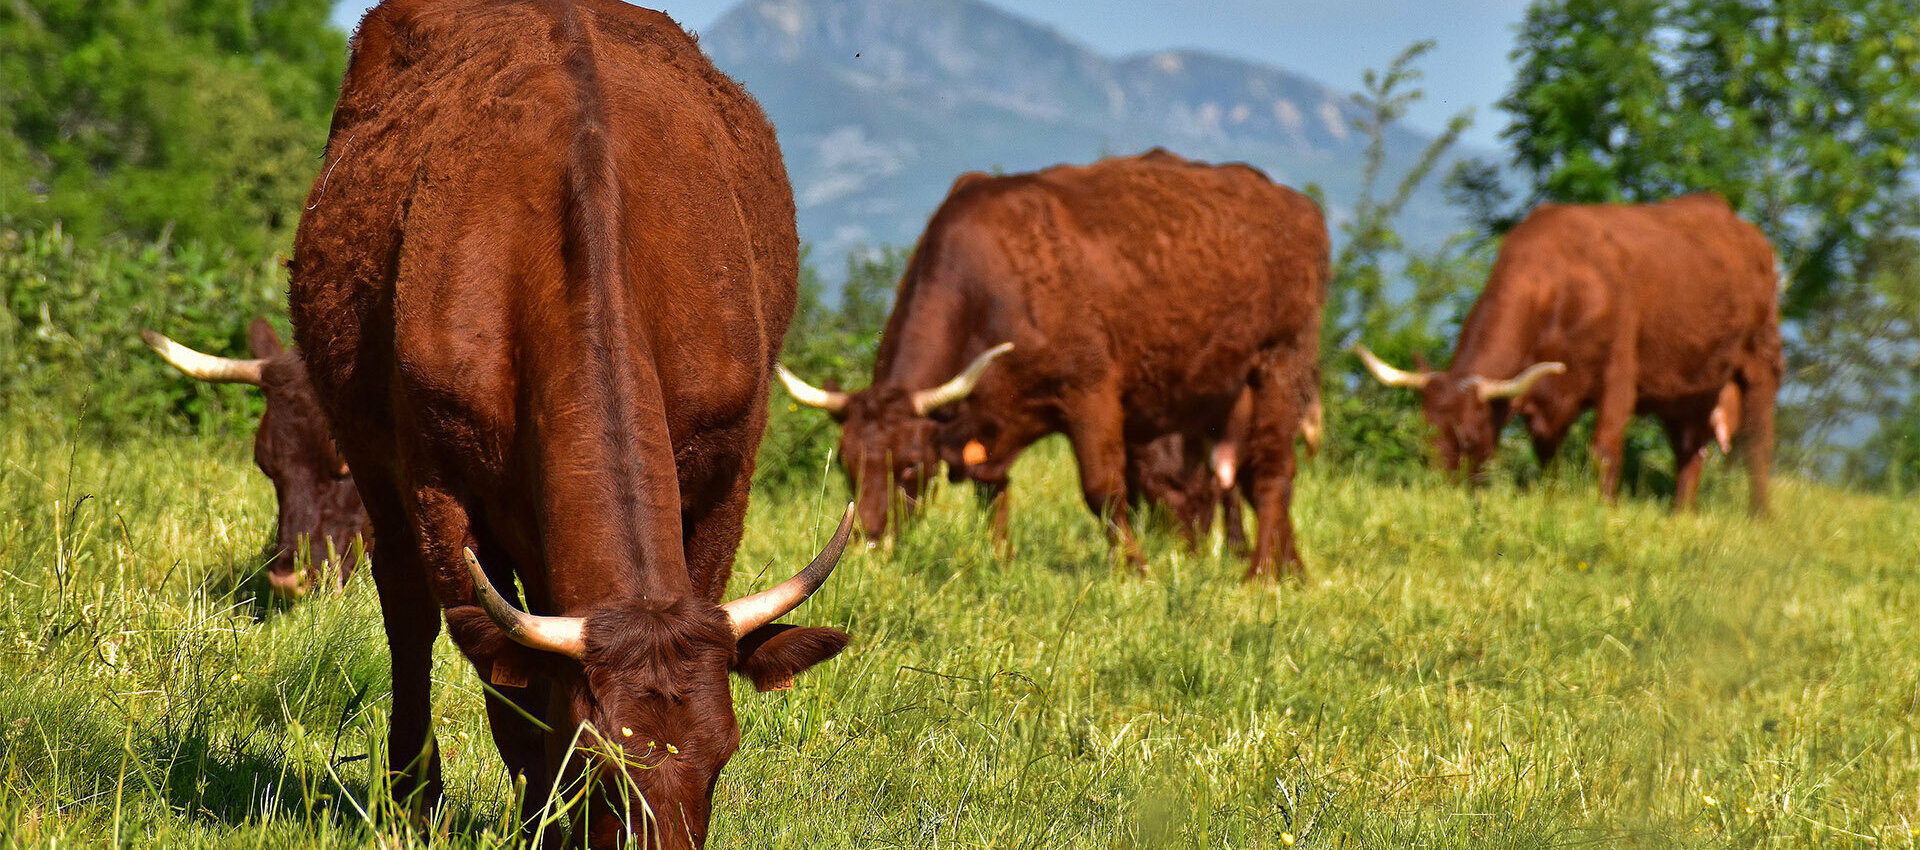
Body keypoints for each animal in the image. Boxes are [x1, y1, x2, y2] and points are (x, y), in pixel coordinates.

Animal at [286, 3, 856, 848]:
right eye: (600, 764)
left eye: (723, 757)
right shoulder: (440, 485)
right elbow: (511, 695)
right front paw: (537, 821)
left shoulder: (728, 468)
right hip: (369, 453)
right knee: (406, 606)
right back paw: (412, 793)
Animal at [771, 151, 1328, 579]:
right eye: (846, 464)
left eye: (908, 464)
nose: (869, 541)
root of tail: (1295, 203)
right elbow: (991, 492)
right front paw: (999, 560)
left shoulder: (1091, 390)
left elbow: (1103, 490)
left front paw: (1135, 570)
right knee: (1249, 477)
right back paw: (1293, 571)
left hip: (1283, 361)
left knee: (1271, 471)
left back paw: (1261, 575)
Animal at [1351, 192, 1781, 514]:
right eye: (1423, 434)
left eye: (1469, 438)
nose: (1440, 492)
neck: (1559, 281)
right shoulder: (1543, 396)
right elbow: (1546, 454)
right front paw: (1551, 500)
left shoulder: (1619, 371)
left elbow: (1605, 450)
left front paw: (1605, 510)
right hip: (1689, 388)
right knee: (1690, 453)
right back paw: (1680, 516)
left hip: (1761, 357)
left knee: (1758, 443)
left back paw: (1758, 517)